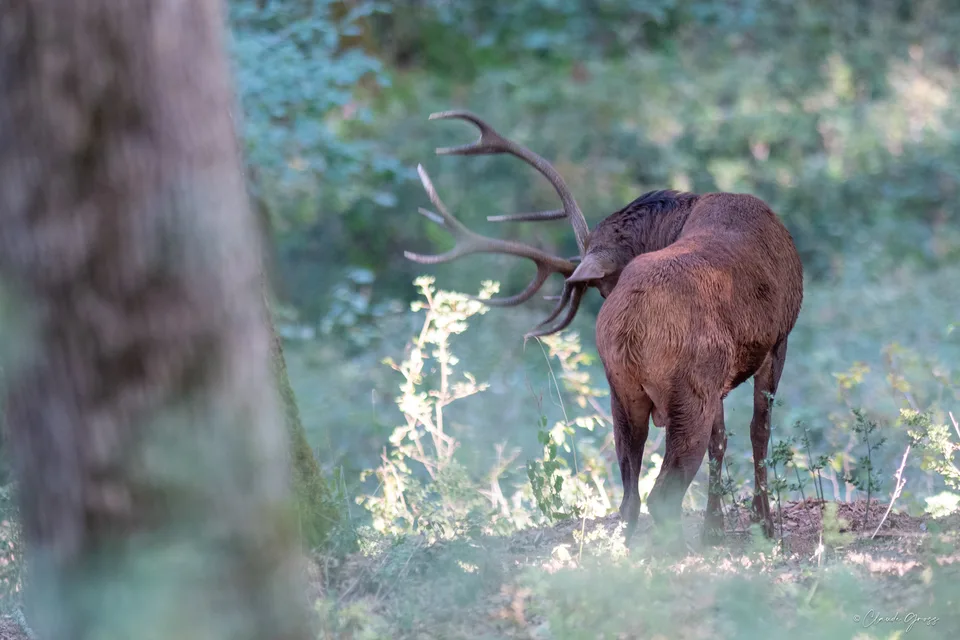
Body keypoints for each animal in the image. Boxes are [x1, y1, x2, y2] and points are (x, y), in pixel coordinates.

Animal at [403, 110, 804, 548]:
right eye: (599, 285)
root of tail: (630, 324)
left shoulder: (723, 376)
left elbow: (723, 440)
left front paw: (714, 529)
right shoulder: (778, 338)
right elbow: (758, 432)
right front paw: (763, 526)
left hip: (622, 389)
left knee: (629, 495)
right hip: (689, 387)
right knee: (662, 492)